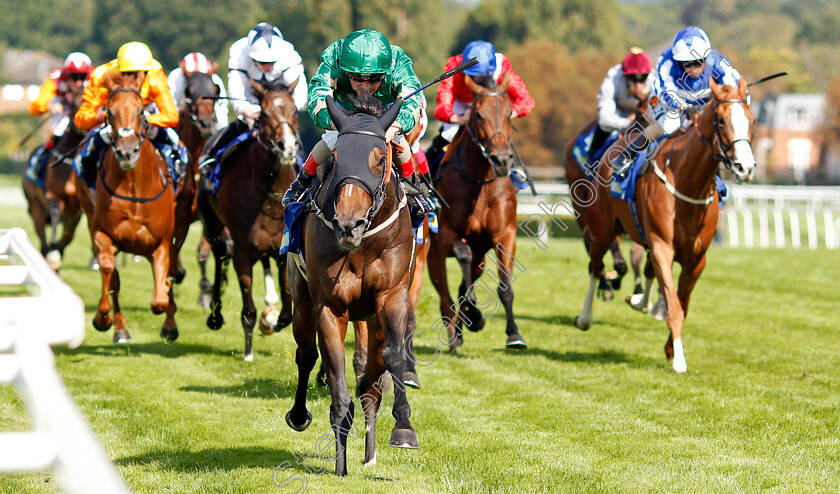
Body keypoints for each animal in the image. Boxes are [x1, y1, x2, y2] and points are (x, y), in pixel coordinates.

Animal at [76, 73, 185, 344]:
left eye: (139, 111)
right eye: (110, 112)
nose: (127, 153)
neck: (135, 186)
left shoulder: (161, 242)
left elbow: (160, 297)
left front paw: (166, 312)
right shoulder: (102, 233)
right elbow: (108, 270)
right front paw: (102, 318)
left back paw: (169, 325)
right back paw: (120, 328)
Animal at [198, 79, 298, 360]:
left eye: (295, 111)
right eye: (264, 114)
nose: (287, 147)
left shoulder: (282, 250)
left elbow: (286, 313)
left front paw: (272, 320)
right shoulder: (243, 251)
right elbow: (248, 309)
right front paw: (248, 351)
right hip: (212, 223)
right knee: (220, 254)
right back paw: (215, 315)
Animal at [288, 95, 418, 474]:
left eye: (379, 159)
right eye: (335, 158)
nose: (348, 223)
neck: (363, 245)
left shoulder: (392, 297)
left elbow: (392, 357)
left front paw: (403, 428)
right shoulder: (330, 308)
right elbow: (336, 381)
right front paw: (339, 464)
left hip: (373, 319)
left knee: (371, 383)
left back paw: (370, 453)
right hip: (301, 303)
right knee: (306, 354)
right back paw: (299, 415)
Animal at [426, 72, 524, 352]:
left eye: (509, 112)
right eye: (478, 114)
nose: (501, 160)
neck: (480, 182)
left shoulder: (505, 235)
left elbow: (505, 287)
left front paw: (514, 334)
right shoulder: (446, 235)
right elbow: (462, 253)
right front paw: (476, 314)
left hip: (480, 256)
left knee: (462, 285)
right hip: (432, 255)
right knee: (446, 296)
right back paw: (454, 335)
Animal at [572, 79, 756, 372]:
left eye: (751, 119)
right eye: (721, 119)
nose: (745, 167)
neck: (688, 183)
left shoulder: (696, 259)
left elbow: (682, 304)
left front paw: (671, 348)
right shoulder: (662, 246)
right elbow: (674, 306)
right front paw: (679, 359)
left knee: (646, 270)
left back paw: (640, 302)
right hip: (603, 229)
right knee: (596, 266)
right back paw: (585, 317)